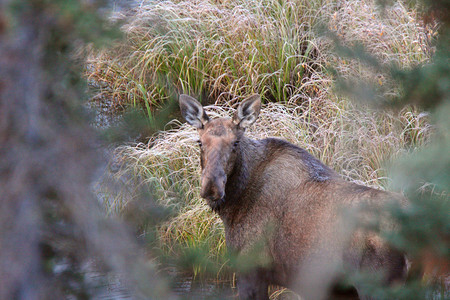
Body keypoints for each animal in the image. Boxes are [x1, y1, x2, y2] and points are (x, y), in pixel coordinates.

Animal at [179, 94, 408, 300]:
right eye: (199, 142)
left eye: (235, 142)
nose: (211, 187)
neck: (233, 206)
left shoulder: (250, 270)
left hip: (377, 285)